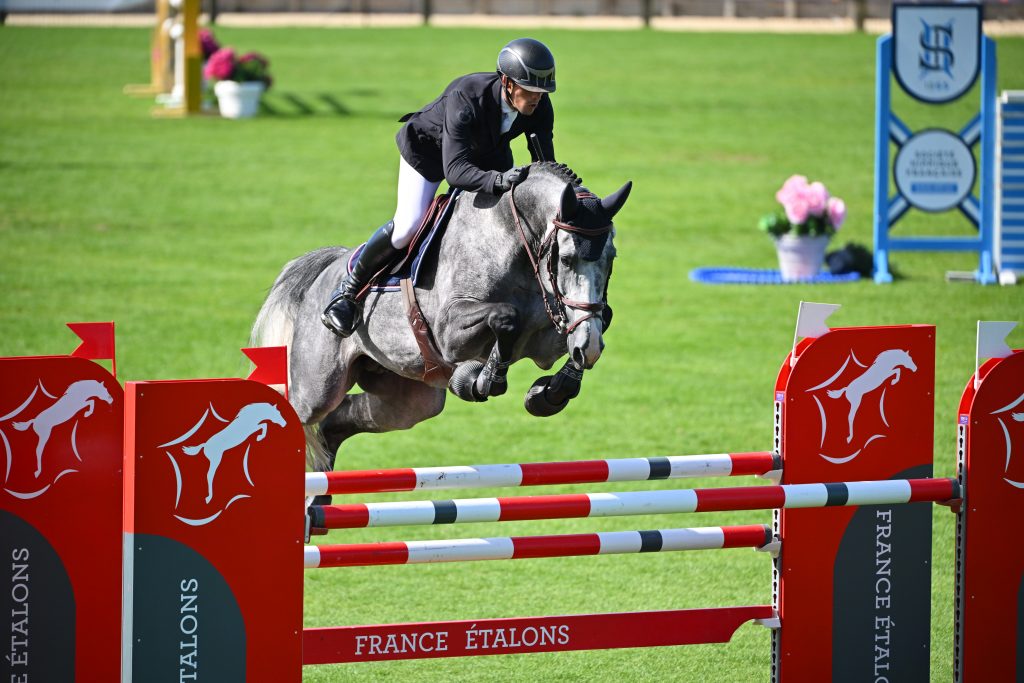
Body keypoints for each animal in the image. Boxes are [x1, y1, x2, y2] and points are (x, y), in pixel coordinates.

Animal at [251, 162, 629, 477]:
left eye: (611, 257)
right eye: (565, 258)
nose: (589, 348)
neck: (515, 242)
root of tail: (323, 273)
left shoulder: (551, 334)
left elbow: (594, 323)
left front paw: (551, 391)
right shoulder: (451, 332)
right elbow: (505, 318)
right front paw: (483, 378)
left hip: (408, 400)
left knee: (335, 424)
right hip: (317, 387)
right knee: (302, 411)